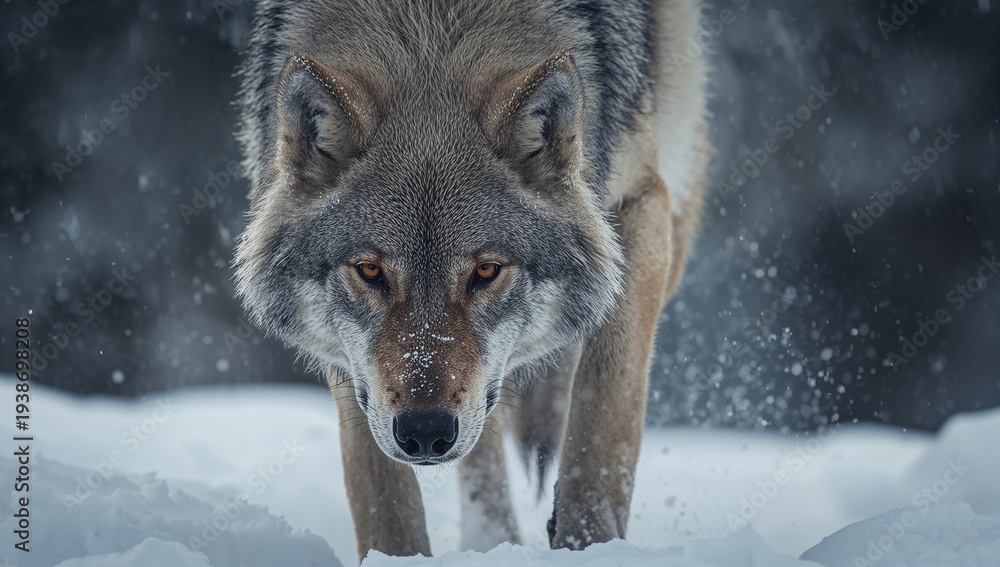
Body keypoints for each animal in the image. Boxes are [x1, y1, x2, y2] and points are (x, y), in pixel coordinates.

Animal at [234, 0, 709, 560]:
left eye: (486, 271)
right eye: (370, 271)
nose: (425, 432)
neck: (431, 27)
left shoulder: (639, 204)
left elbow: (605, 408)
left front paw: (588, 544)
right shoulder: (351, 364)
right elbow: (376, 483)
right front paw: (397, 556)